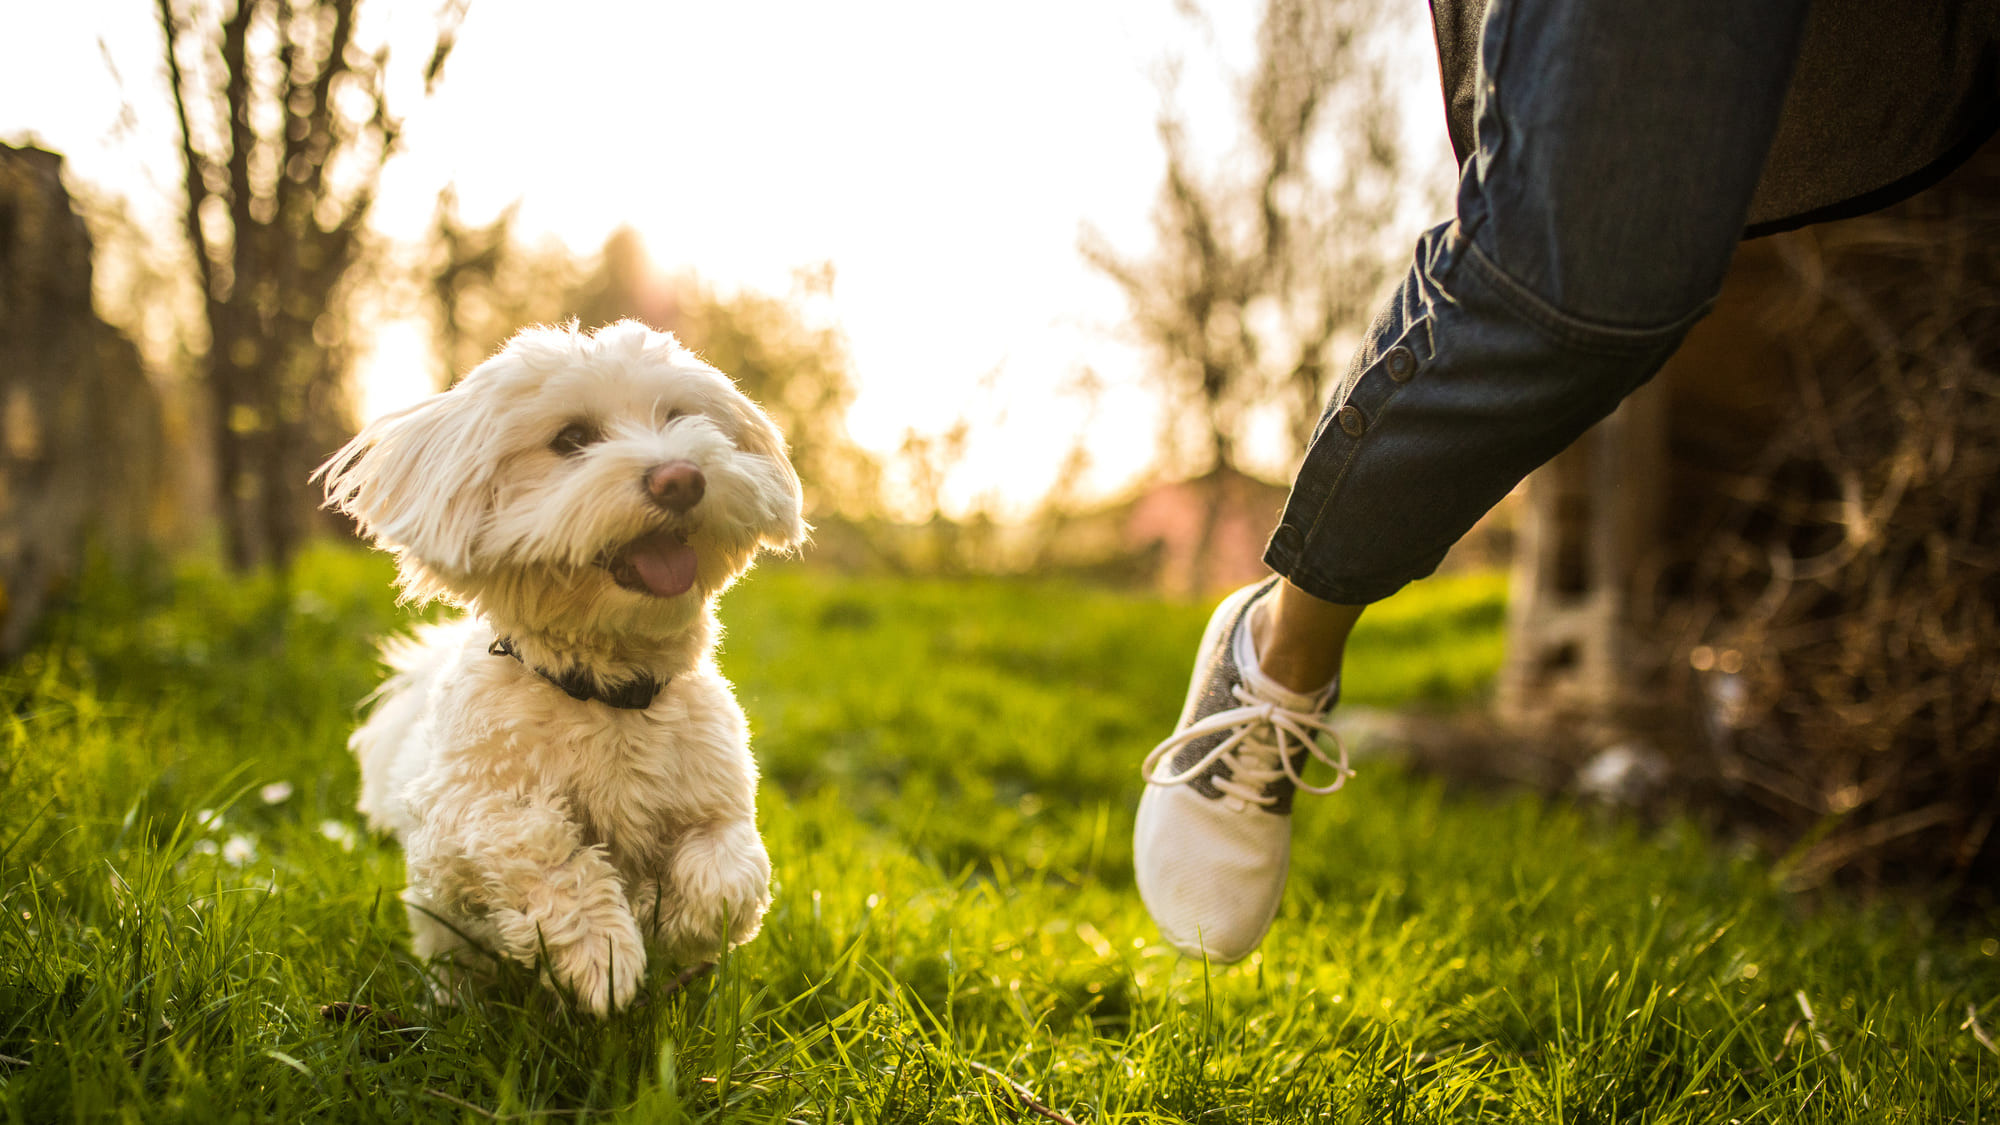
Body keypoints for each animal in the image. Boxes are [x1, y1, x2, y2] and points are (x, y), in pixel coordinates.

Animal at [316, 318, 800, 1016]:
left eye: (679, 418)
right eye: (571, 439)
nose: (681, 478)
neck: (606, 690)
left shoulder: (719, 802)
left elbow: (728, 875)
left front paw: (663, 913)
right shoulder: (456, 818)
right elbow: (538, 843)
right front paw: (602, 952)